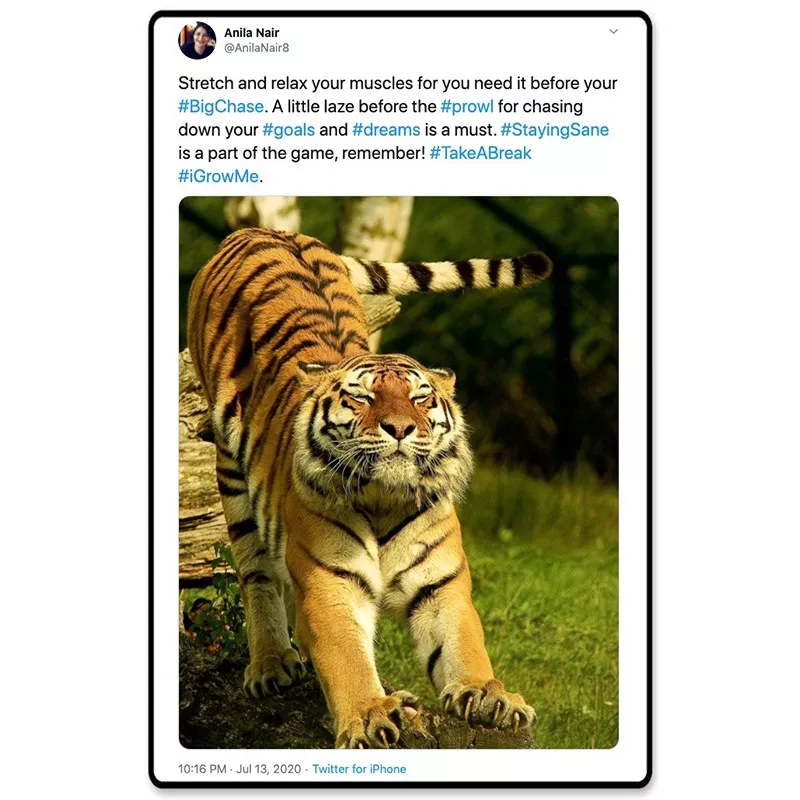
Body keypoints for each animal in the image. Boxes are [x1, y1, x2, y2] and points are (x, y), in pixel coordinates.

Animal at [187, 227, 551, 748]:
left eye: (420, 398)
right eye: (362, 397)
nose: (400, 427)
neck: (384, 498)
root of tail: (262, 231)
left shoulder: (441, 585)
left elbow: (464, 644)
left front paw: (490, 694)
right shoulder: (329, 583)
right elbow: (347, 658)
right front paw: (369, 714)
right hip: (231, 473)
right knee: (255, 572)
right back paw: (271, 665)